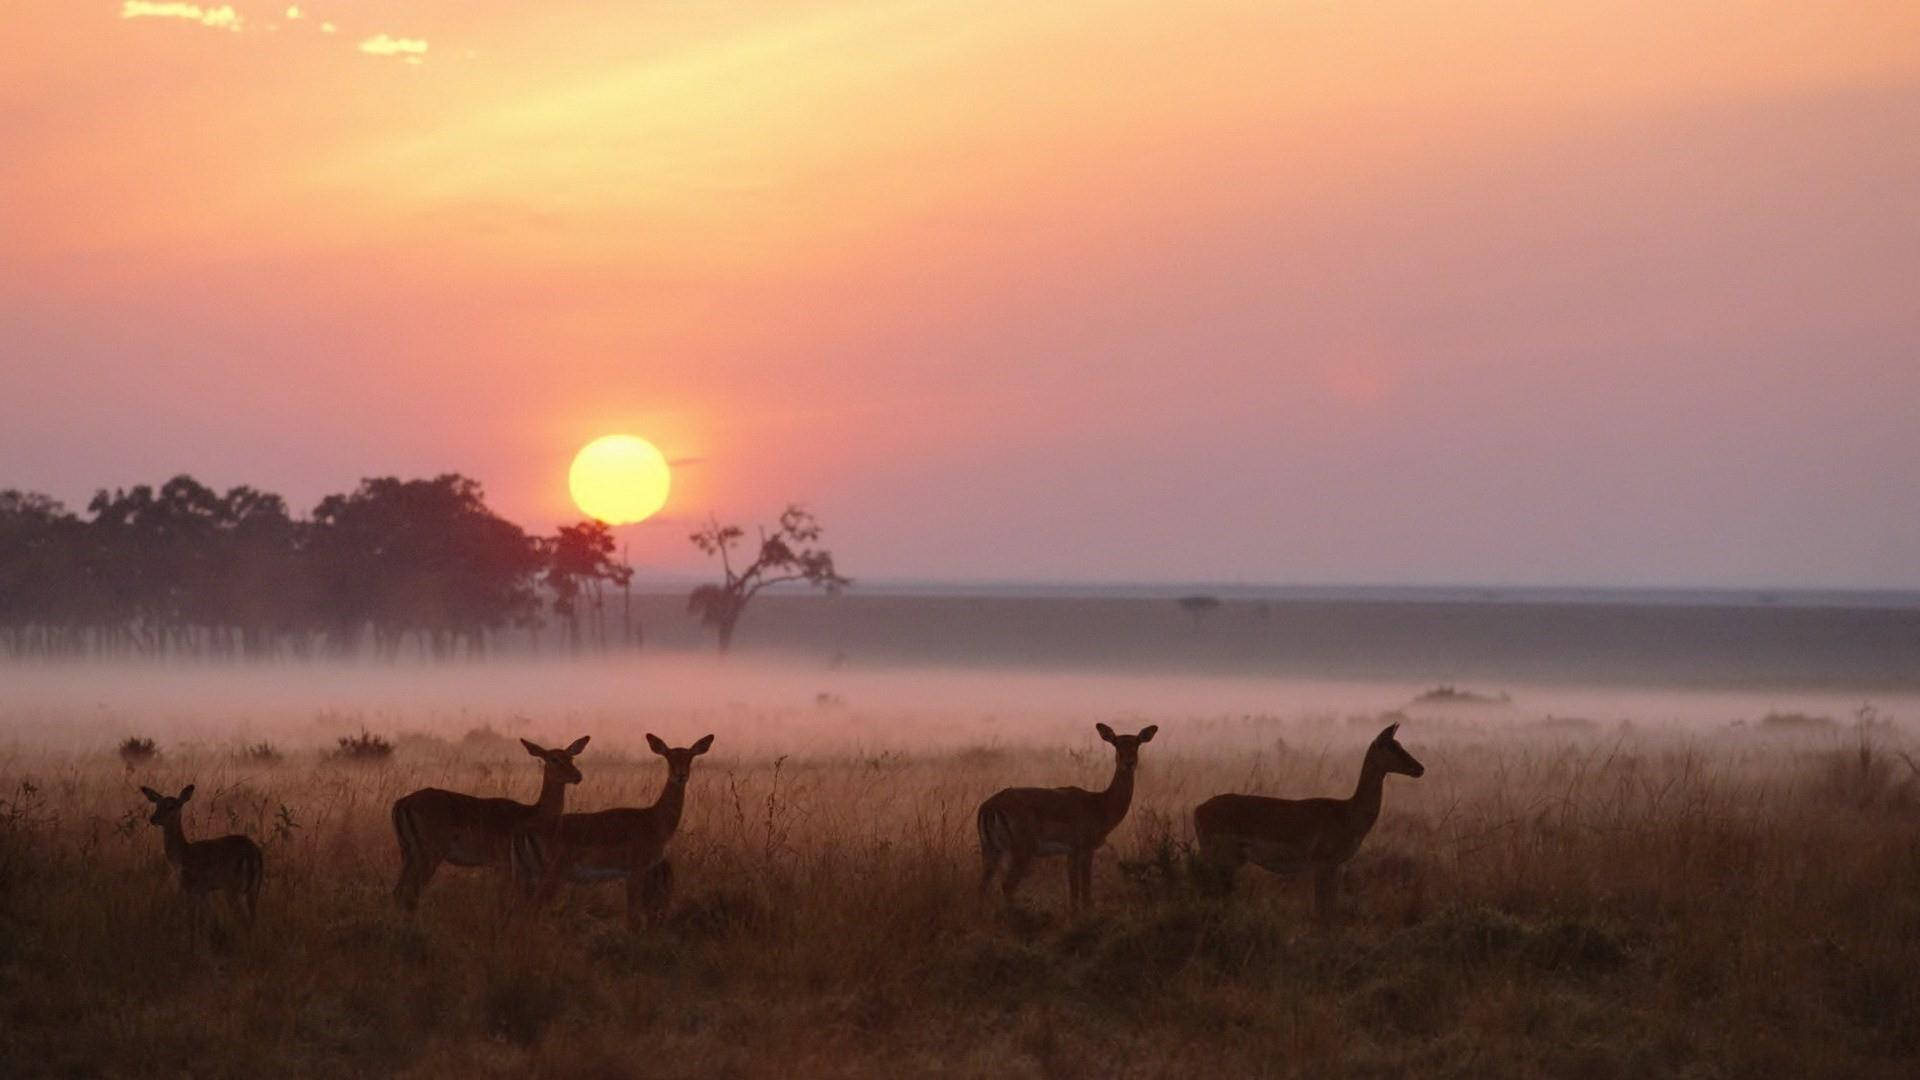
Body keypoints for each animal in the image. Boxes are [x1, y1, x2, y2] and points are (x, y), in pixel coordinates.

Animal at [139, 784, 263, 937]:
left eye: (171, 806)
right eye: (157, 805)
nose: (153, 818)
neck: (182, 854)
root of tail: (253, 853)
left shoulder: (191, 887)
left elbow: (192, 920)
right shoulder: (205, 890)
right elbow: (204, 919)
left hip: (233, 888)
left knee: (243, 920)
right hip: (253, 889)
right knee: (252, 920)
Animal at [390, 735, 589, 911]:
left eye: (571, 757)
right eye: (554, 759)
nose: (577, 776)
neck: (533, 812)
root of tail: (401, 804)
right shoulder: (506, 864)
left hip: (408, 852)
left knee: (399, 891)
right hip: (429, 853)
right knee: (409, 892)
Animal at [512, 733, 713, 931]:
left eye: (690, 757)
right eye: (669, 757)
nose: (681, 775)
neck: (654, 819)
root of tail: (526, 830)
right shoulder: (635, 871)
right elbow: (633, 919)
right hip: (552, 874)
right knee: (531, 909)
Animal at [976, 723, 1158, 910]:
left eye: (1137, 744)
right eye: (1117, 744)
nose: (1129, 763)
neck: (1101, 804)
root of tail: (990, 806)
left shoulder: (1071, 853)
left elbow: (1074, 892)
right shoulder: (1085, 848)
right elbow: (1085, 891)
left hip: (991, 849)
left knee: (982, 886)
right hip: (1021, 850)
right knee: (1007, 885)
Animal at [1193, 722, 1424, 920]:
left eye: (1400, 744)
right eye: (1391, 746)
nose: (1419, 768)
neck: (1347, 813)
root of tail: (1199, 809)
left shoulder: (1334, 867)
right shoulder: (1323, 865)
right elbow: (1322, 912)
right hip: (1222, 861)